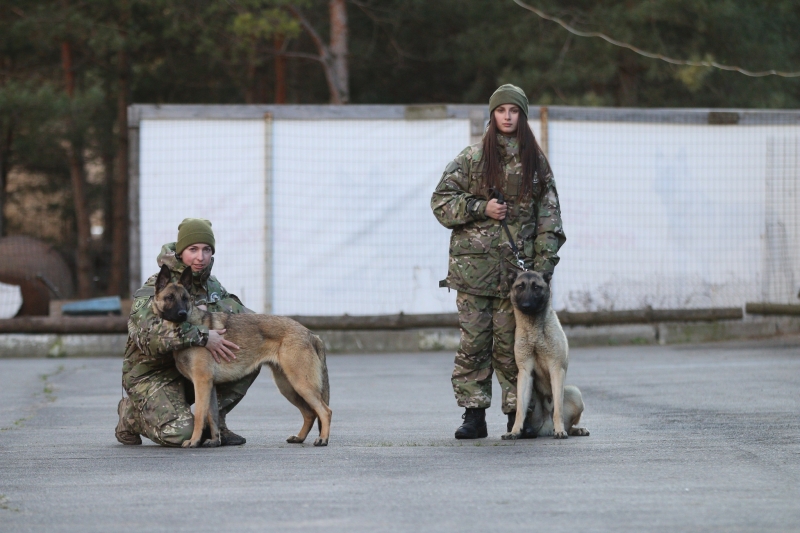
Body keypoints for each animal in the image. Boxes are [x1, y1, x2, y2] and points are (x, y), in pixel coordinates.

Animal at [153, 264, 332, 446]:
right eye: (169, 297)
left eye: (185, 298)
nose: (182, 313)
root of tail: (310, 334)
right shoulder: (209, 386)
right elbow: (212, 415)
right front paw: (215, 441)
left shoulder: (202, 383)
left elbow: (200, 416)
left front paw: (194, 441)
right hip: (288, 386)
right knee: (310, 413)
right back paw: (300, 437)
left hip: (301, 384)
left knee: (325, 411)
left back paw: (323, 439)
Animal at [504, 272, 592, 438]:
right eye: (520, 286)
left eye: (536, 287)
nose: (526, 305)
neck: (534, 330)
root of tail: (546, 425)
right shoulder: (525, 373)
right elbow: (520, 409)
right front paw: (515, 431)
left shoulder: (556, 369)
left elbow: (558, 408)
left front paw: (560, 430)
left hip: (574, 392)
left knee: (568, 424)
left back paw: (574, 429)